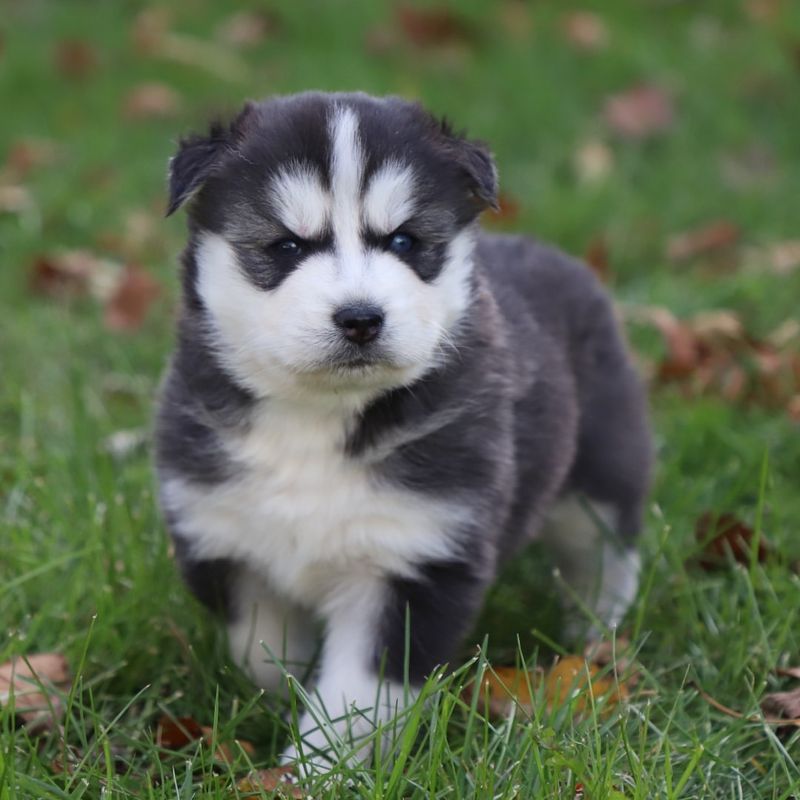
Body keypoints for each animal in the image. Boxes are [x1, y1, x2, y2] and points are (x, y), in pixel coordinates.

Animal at [155, 90, 648, 772]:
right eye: (286, 247)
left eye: (404, 240)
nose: (361, 318)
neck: (318, 419)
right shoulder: (225, 540)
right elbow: (260, 647)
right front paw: (278, 700)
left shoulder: (414, 561)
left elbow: (354, 697)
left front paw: (317, 772)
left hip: (601, 468)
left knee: (606, 553)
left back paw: (595, 637)